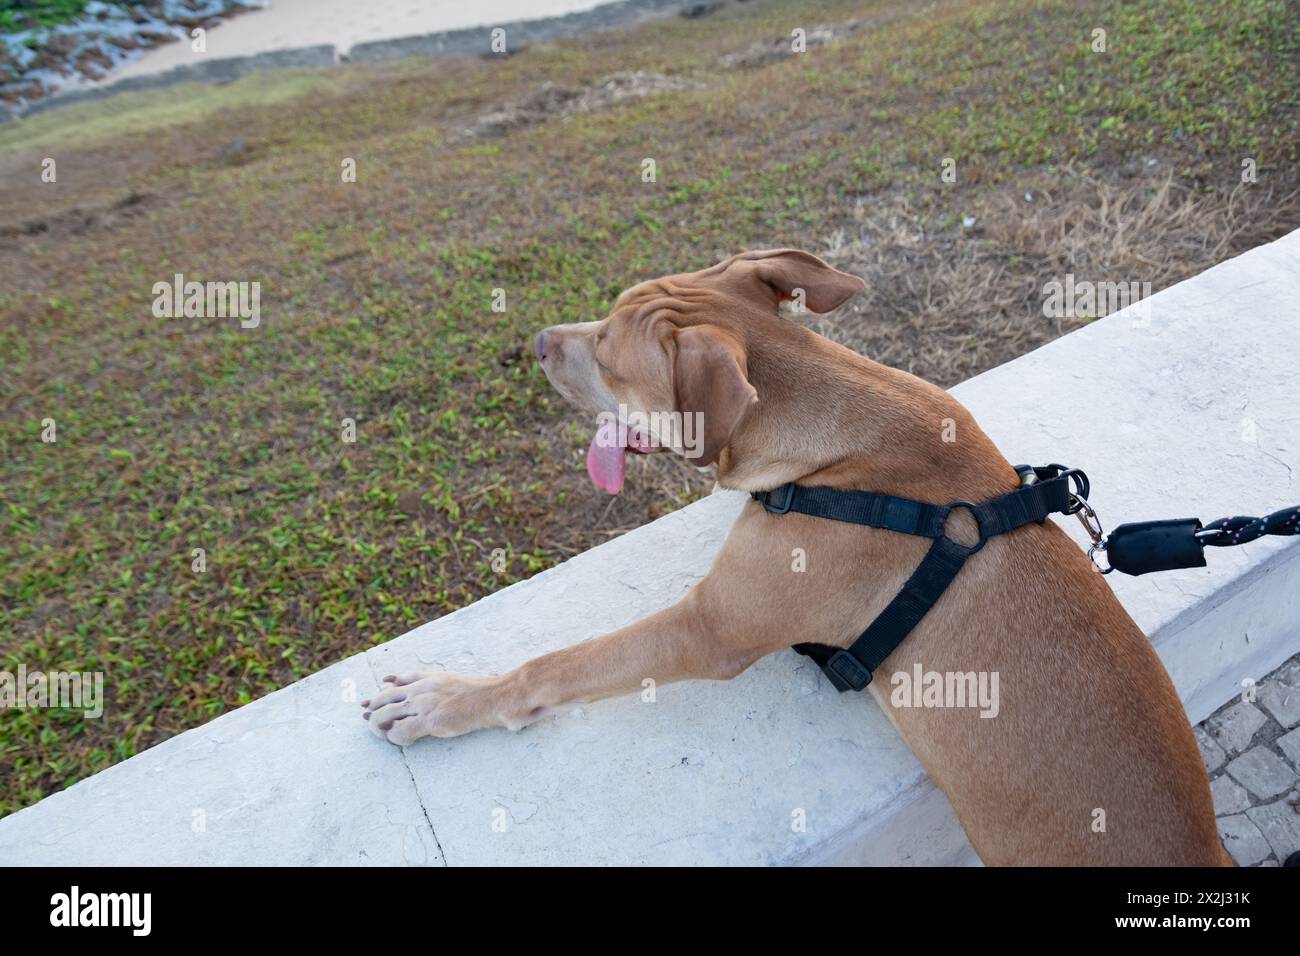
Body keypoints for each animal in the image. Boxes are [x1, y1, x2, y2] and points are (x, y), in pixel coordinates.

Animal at [364, 247, 1227, 868]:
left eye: (607, 355)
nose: (538, 342)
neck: (836, 442)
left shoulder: (706, 630)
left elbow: (554, 666)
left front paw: (445, 701)